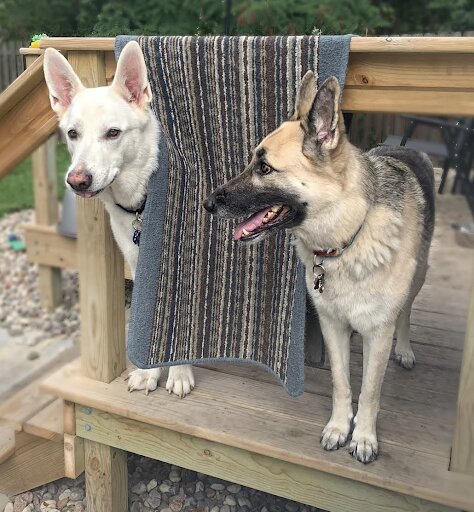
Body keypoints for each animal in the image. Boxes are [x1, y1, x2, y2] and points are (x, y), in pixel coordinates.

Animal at [43, 42, 194, 398]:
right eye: (72, 134)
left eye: (113, 133)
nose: (77, 181)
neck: (143, 195)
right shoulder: (140, 264)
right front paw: (149, 372)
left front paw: (179, 373)